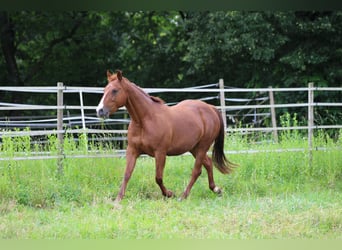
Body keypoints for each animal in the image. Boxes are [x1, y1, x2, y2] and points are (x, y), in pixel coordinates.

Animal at [95, 70, 236, 203]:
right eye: (104, 90)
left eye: (114, 90)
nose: (100, 111)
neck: (145, 120)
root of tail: (211, 108)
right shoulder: (132, 150)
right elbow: (127, 174)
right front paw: (118, 199)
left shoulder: (160, 153)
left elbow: (158, 177)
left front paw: (169, 194)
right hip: (194, 148)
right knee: (208, 163)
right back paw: (216, 189)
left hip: (202, 147)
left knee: (197, 171)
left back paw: (183, 196)